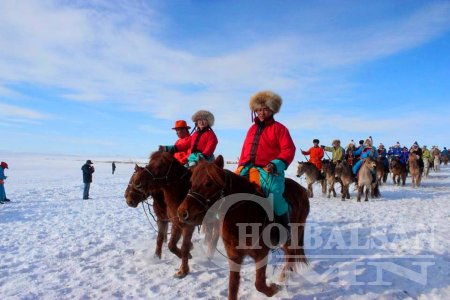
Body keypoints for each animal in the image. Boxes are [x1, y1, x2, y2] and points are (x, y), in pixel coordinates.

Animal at [178, 157, 312, 300]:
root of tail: (302, 189)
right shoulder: (234, 256)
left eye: (209, 183)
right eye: (191, 182)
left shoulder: (261, 254)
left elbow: (259, 284)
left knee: (291, 254)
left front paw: (274, 288)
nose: (182, 213)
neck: (244, 213)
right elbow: (233, 286)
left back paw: (283, 278)